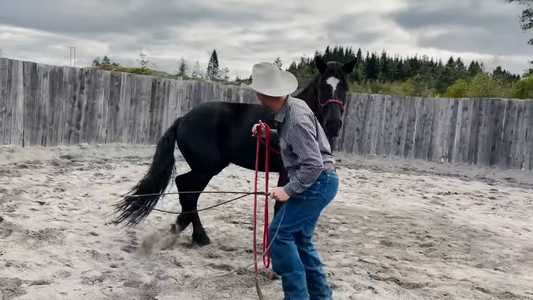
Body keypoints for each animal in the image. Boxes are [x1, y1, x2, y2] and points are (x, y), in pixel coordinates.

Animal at [113, 56, 354, 246]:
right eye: (323, 86)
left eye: (344, 87)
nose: (333, 123)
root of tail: (183, 119)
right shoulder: (288, 173)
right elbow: (280, 207)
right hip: (206, 168)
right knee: (187, 190)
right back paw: (198, 235)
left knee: (186, 190)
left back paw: (184, 227)